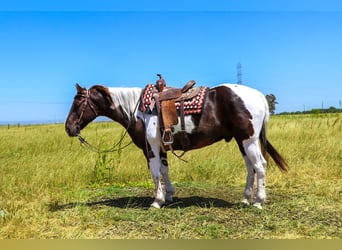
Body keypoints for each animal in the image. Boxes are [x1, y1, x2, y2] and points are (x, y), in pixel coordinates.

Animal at [65, 80, 288, 209]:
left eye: (77, 103)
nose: (69, 128)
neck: (137, 111)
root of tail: (258, 95)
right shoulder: (161, 148)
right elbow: (165, 171)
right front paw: (169, 195)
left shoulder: (151, 148)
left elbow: (155, 174)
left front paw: (157, 201)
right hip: (242, 141)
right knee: (250, 167)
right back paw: (245, 198)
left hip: (248, 140)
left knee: (260, 165)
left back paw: (258, 201)